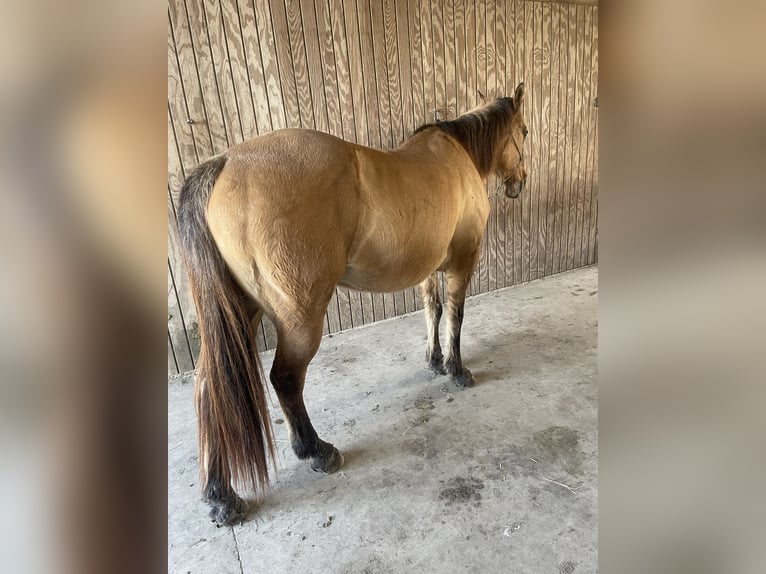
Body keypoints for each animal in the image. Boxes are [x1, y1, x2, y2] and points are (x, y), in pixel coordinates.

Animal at [178, 83, 528, 528]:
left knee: (211, 388)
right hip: (298, 318)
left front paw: (434, 361)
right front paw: (457, 369)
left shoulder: (429, 268)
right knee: (284, 379)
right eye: (525, 131)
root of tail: (223, 163)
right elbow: (455, 315)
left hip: (241, 312)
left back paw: (221, 496)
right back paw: (316, 451)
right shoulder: (463, 261)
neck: (458, 154)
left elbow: (431, 312)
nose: (520, 183)